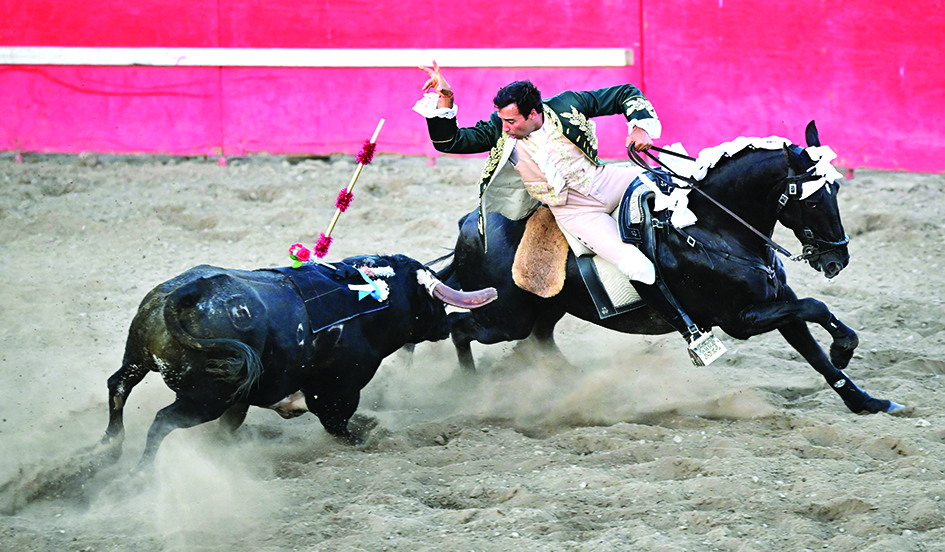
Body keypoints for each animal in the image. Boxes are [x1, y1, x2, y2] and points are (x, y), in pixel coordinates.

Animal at [102, 253, 498, 466]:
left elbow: (228, 430)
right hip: (206, 398)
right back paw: (140, 471)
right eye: (430, 301)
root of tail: (187, 293)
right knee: (161, 421)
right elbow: (339, 426)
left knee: (118, 385)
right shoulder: (338, 391)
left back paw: (110, 447)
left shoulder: (243, 399)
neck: (369, 298)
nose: (444, 325)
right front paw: (368, 434)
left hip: (140, 359)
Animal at [438, 121, 904, 414]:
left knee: (539, 345)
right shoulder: (742, 318)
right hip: (504, 316)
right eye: (812, 199)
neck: (713, 226)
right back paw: (467, 392)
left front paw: (869, 401)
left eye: (837, 188)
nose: (836, 259)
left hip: (544, 310)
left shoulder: (777, 302)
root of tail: (470, 224)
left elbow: (814, 351)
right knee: (460, 328)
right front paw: (845, 348)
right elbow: (816, 308)